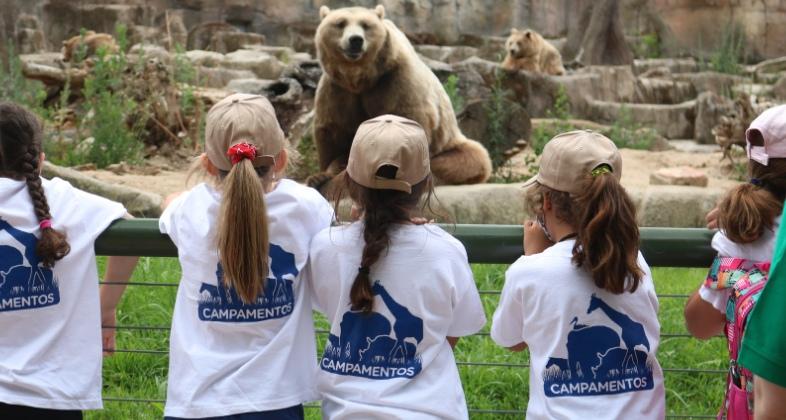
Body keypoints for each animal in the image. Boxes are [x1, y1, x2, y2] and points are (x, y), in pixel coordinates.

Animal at [306, 4, 490, 192]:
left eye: (365, 25)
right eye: (340, 23)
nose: (355, 40)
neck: (360, 78)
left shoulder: (396, 80)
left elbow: (408, 121)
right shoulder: (338, 89)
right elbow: (334, 130)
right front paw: (322, 175)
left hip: (449, 145)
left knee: (470, 158)